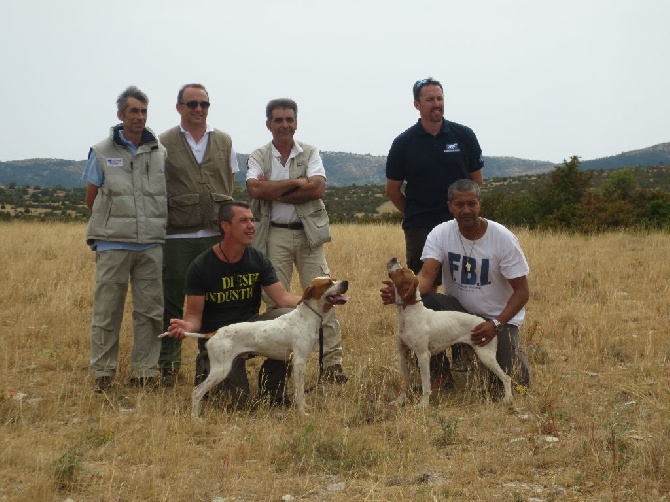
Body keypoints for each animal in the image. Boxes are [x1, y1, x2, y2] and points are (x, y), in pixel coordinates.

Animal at [161, 276, 352, 418]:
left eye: (334, 278)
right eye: (328, 283)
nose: (346, 282)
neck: (307, 316)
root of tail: (215, 333)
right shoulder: (299, 361)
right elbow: (300, 391)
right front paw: (302, 412)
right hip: (220, 369)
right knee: (197, 391)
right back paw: (195, 417)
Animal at [386, 256, 512, 406]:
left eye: (401, 271)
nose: (394, 258)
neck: (410, 312)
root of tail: (488, 323)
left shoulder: (423, 355)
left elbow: (426, 384)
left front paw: (423, 404)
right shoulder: (403, 353)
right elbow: (405, 382)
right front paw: (399, 401)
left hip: (486, 356)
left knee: (506, 377)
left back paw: (507, 398)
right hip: (475, 356)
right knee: (485, 374)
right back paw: (482, 389)